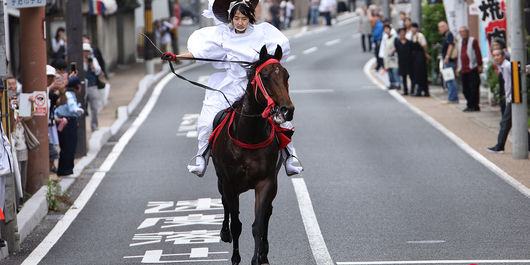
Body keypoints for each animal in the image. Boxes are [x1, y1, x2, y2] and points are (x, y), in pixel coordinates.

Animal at [209, 44, 292, 262]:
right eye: (266, 77)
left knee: (268, 213)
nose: (287, 110)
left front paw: (258, 257)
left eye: (286, 76)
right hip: (221, 181)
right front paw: (235, 258)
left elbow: (259, 224)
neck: (249, 136)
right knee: (225, 205)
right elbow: (236, 224)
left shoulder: (266, 181)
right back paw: (224, 233)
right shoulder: (228, 182)